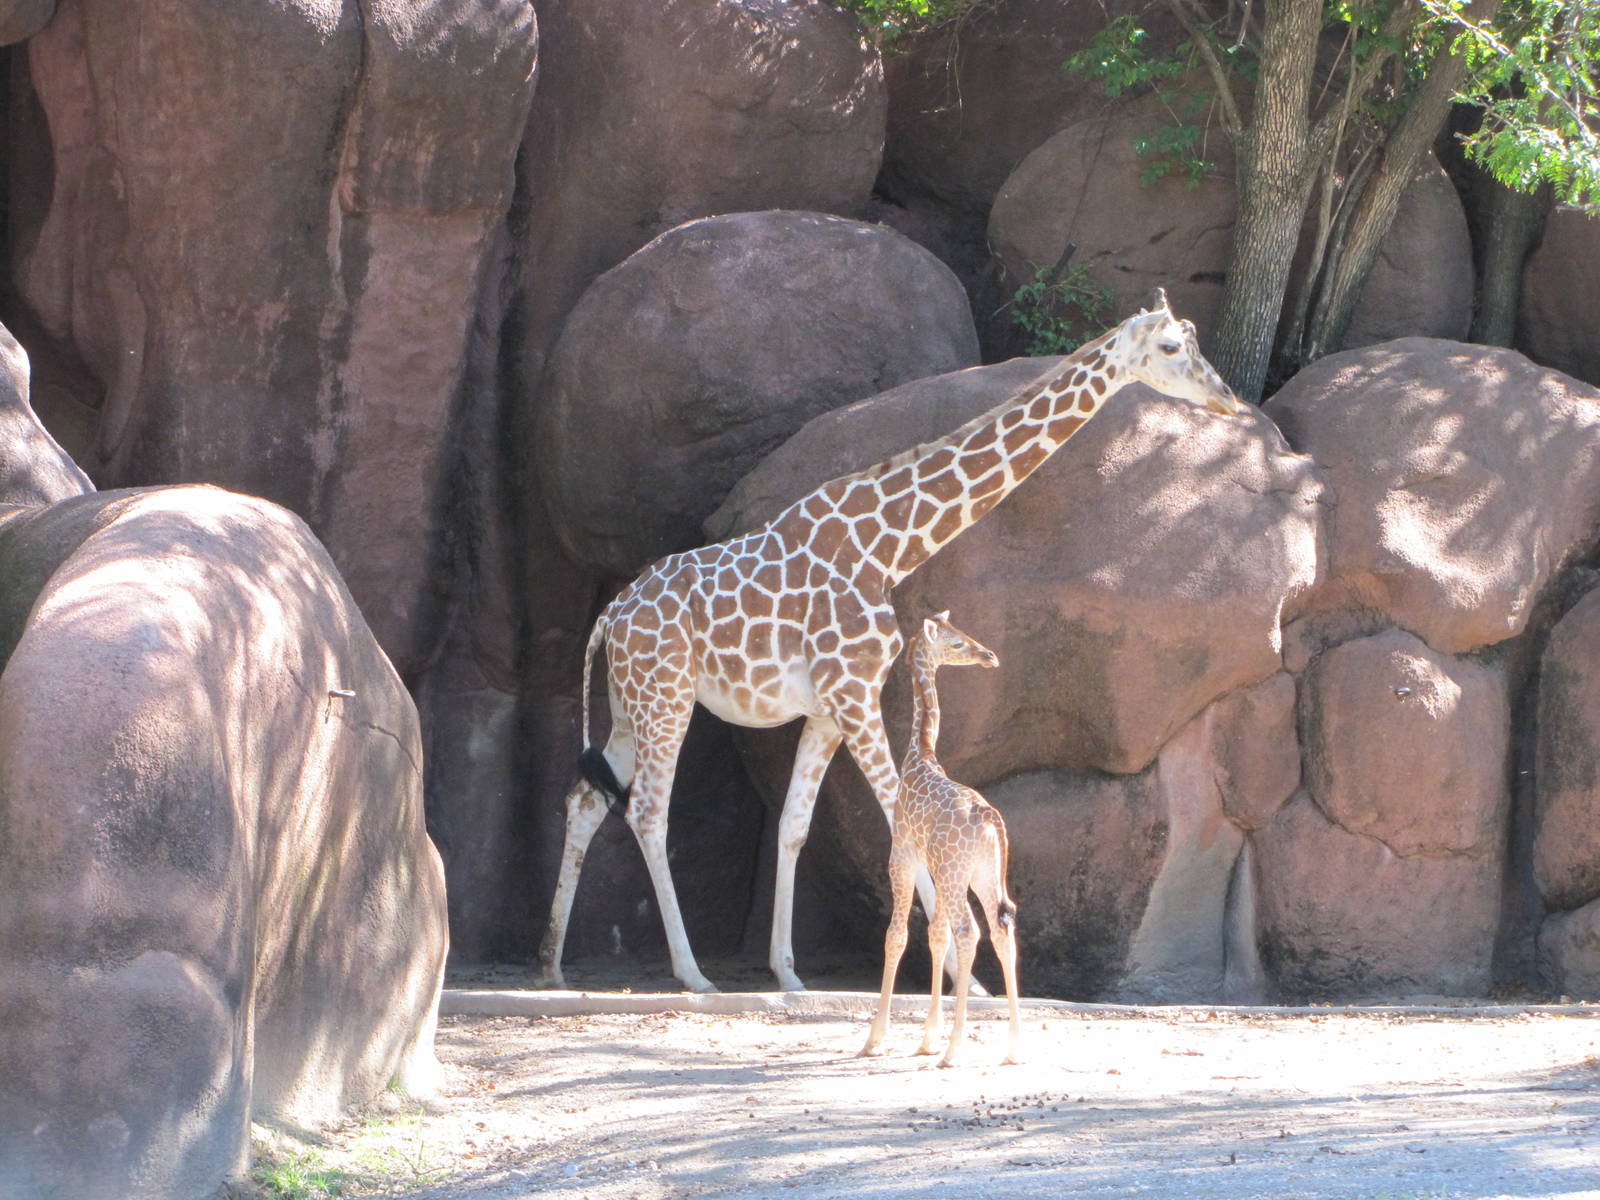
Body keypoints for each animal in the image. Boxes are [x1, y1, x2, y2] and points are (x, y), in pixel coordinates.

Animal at [537, 288, 1240, 994]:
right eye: (1172, 346)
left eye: (1193, 337)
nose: (1229, 400)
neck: (889, 548)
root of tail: (611, 615)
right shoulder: (854, 695)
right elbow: (894, 815)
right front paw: (969, 981)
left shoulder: (827, 709)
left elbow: (794, 827)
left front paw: (787, 972)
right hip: (667, 698)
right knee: (647, 812)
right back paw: (691, 973)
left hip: (632, 704)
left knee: (586, 797)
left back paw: (551, 964)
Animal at [858, 612, 1019, 1068]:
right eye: (958, 642)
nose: (990, 655)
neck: (920, 756)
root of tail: (989, 818)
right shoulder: (931, 866)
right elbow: (935, 934)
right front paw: (927, 1036)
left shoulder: (903, 854)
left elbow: (897, 934)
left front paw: (876, 1038)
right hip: (980, 874)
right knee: (1000, 929)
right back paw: (1013, 1047)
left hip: (955, 872)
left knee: (970, 931)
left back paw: (955, 1049)